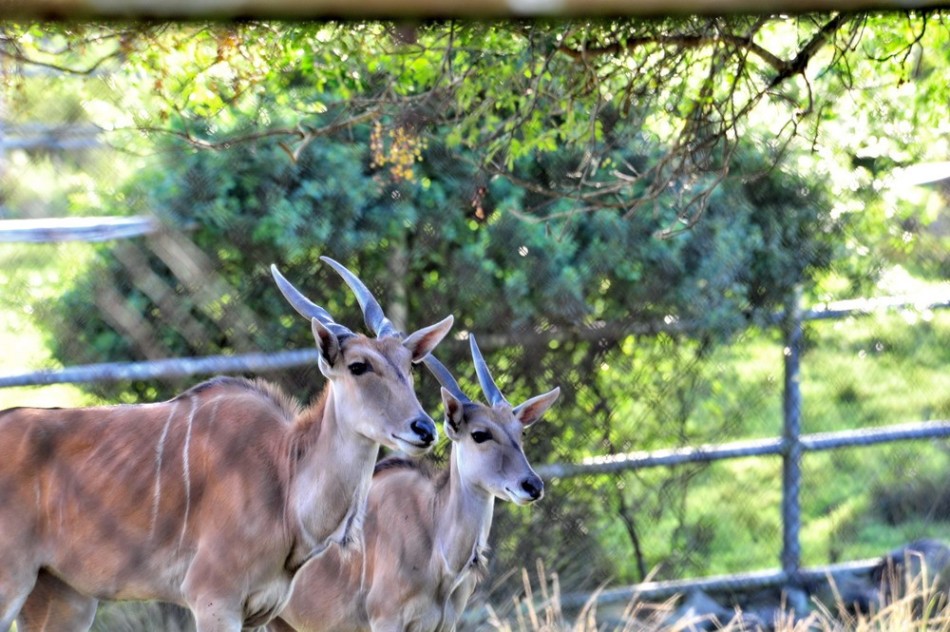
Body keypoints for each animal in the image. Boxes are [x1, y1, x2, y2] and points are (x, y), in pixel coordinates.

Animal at [0, 256, 454, 632]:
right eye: (359, 366)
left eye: (409, 368)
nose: (424, 428)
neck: (285, 477)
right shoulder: (214, 600)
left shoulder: (260, 612)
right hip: (13, 582)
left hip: (61, 596)